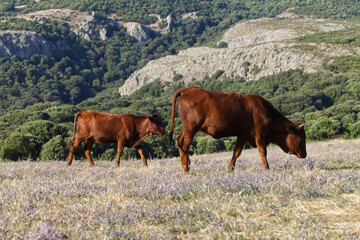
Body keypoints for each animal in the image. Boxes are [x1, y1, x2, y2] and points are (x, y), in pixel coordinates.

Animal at [169, 87, 306, 172]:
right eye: (301, 137)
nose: (305, 154)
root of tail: (188, 90)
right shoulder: (259, 134)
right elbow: (263, 151)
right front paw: (267, 168)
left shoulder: (242, 134)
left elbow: (236, 152)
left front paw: (230, 169)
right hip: (191, 129)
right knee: (184, 144)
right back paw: (186, 169)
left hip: (188, 129)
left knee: (180, 141)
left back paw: (188, 166)